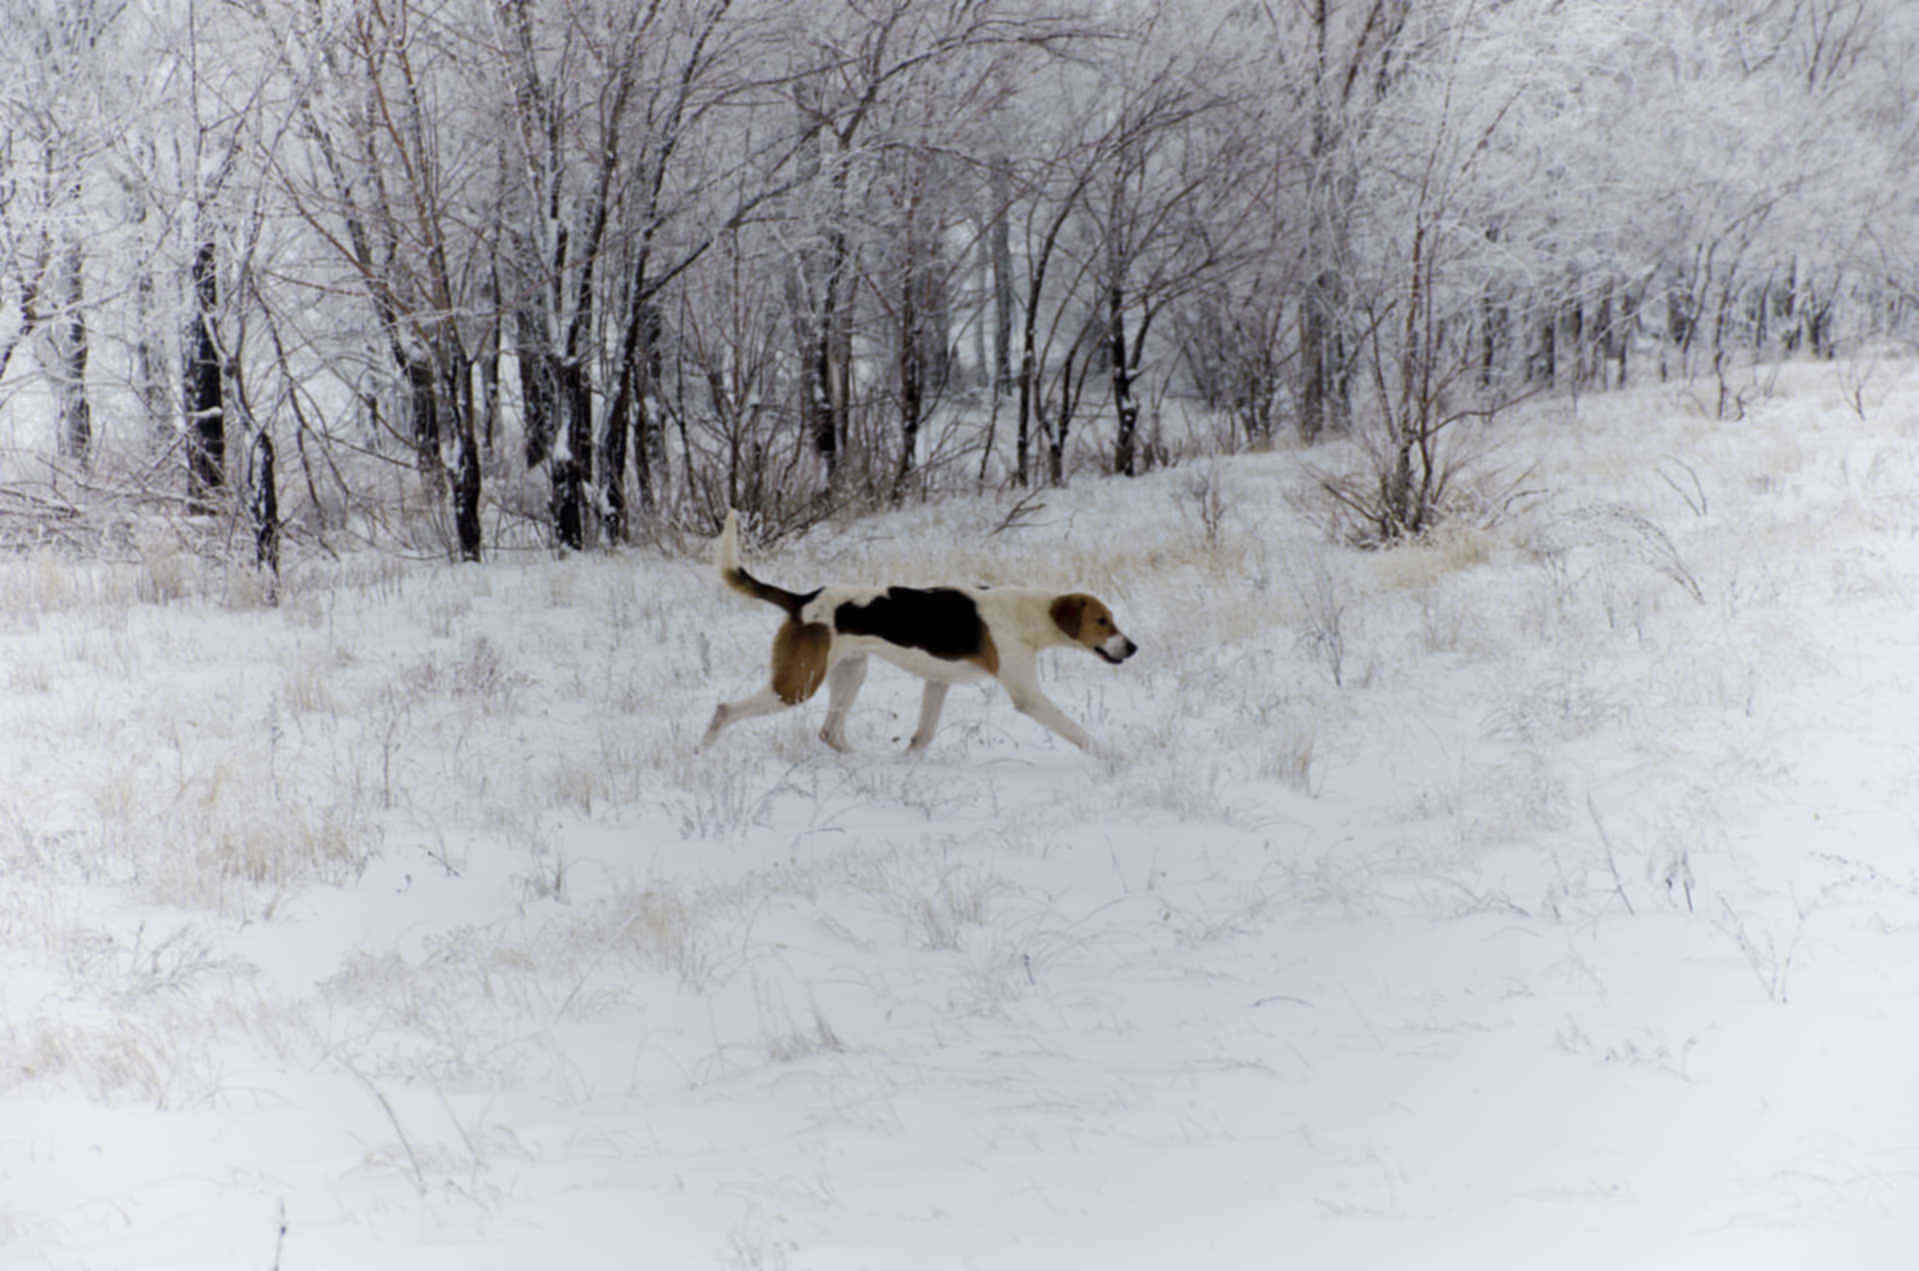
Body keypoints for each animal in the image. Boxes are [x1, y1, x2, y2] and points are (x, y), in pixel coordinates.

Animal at [698, 510, 1128, 756]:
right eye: (1103, 622)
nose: (1133, 647)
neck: (1027, 614)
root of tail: (803, 599)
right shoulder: (1029, 697)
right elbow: (1077, 731)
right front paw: (1113, 758)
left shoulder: (938, 682)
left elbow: (923, 736)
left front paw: (909, 764)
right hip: (798, 685)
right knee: (723, 710)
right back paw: (703, 752)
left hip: (851, 673)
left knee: (829, 733)